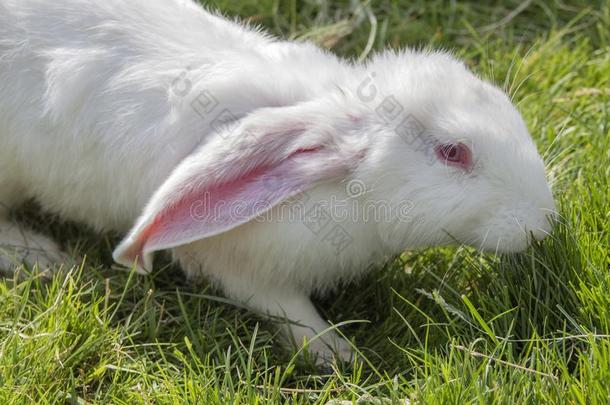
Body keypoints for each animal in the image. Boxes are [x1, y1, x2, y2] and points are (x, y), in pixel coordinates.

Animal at [0, 0, 552, 360]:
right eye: (453, 152)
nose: (544, 225)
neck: (342, 188)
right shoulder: (242, 266)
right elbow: (290, 313)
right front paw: (341, 355)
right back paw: (41, 256)